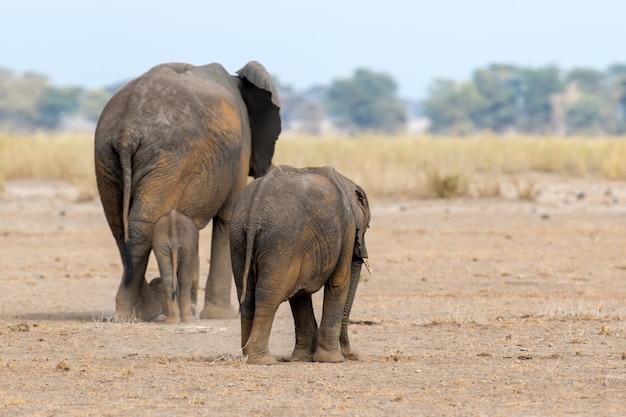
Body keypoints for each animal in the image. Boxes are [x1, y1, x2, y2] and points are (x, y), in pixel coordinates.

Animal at [95, 60, 280, 320]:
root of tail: (126, 131)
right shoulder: (241, 149)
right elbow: (227, 219)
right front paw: (221, 316)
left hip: (109, 157)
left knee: (121, 228)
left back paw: (139, 311)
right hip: (168, 160)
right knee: (140, 225)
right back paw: (142, 311)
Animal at [229, 166, 370, 364]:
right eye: (367, 227)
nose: (352, 355)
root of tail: (254, 215)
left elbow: (300, 295)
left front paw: (302, 358)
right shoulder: (347, 229)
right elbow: (338, 282)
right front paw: (333, 360)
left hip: (239, 238)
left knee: (247, 295)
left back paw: (249, 356)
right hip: (282, 240)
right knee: (268, 296)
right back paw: (263, 360)